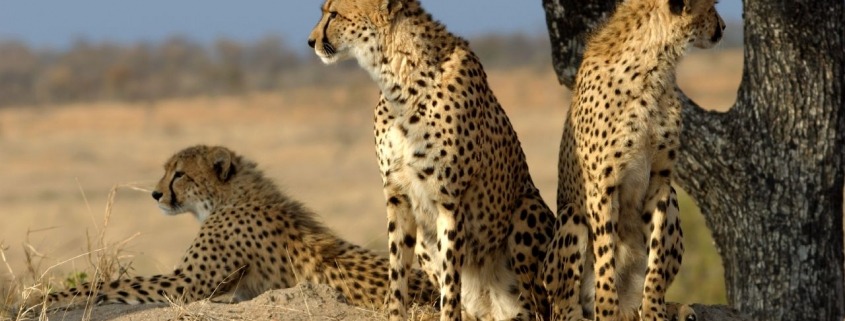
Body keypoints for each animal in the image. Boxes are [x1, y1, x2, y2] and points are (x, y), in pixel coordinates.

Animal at [18, 146, 436, 314]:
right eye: (167, 171)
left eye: (179, 174)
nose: (156, 194)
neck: (229, 197)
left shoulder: (186, 284)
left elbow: (113, 284)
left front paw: (46, 298)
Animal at [306, 1, 556, 318]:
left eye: (333, 14)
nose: (311, 41)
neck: (399, 78)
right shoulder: (398, 195)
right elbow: (397, 271)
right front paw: (395, 313)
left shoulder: (449, 201)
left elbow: (451, 282)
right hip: (426, 245)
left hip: (526, 211)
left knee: (541, 305)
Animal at [544, 0, 724, 320]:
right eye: (712, 6)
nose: (723, 27)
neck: (655, 68)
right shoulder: (602, 186)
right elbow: (605, 256)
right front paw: (607, 310)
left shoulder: (661, 180)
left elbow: (656, 259)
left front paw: (654, 310)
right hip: (572, 216)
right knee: (563, 303)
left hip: (673, 196)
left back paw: (671, 308)